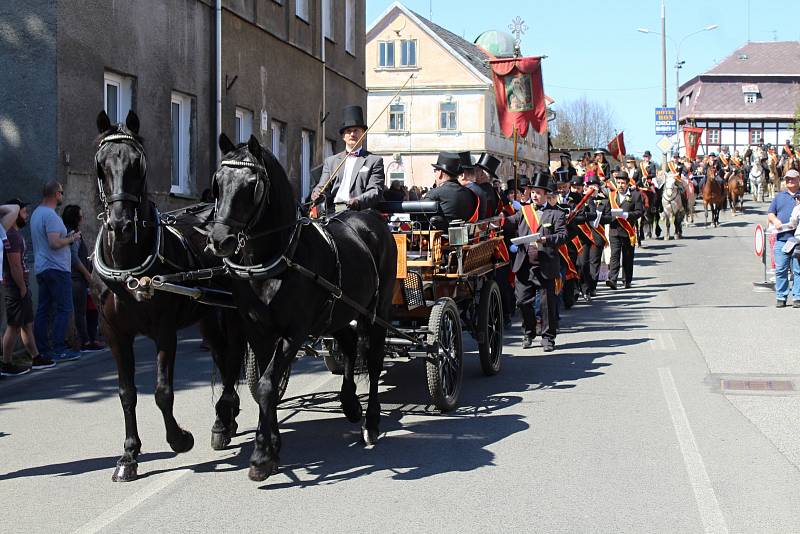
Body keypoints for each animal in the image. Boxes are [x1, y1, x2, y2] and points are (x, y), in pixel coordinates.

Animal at [93, 111, 244, 484]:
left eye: (139, 164)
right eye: (101, 165)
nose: (120, 224)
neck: (127, 267)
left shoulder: (164, 331)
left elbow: (162, 392)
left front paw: (180, 439)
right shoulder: (114, 334)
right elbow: (126, 393)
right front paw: (129, 456)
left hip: (235, 312)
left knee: (233, 357)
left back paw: (224, 417)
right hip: (208, 316)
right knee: (221, 356)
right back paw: (225, 419)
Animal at [206, 135, 394, 486]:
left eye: (252, 184)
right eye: (218, 182)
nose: (219, 240)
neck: (277, 258)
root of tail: (371, 222)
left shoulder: (294, 332)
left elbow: (268, 385)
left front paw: (262, 456)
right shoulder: (258, 330)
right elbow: (263, 387)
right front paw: (272, 446)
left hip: (376, 310)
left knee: (374, 360)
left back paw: (371, 422)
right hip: (338, 311)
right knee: (349, 345)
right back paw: (350, 403)